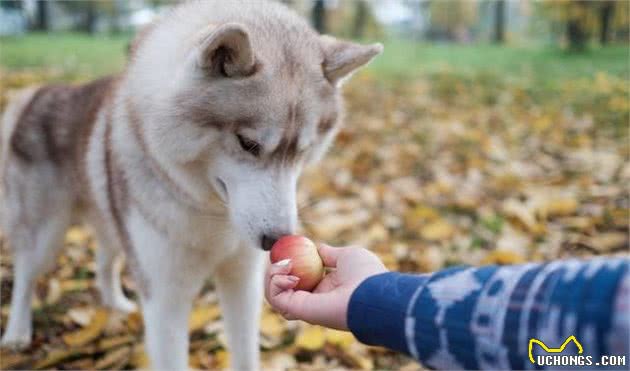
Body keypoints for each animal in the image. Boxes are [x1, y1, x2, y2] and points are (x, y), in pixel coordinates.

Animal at [0, 2, 382, 370]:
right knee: (25, 277)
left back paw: (117, 304)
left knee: (105, 259)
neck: (211, 213)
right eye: (248, 143)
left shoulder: (242, 280)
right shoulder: (165, 298)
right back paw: (17, 332)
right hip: (46, 237)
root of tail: (35, 93)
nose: (276, 240)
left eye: (302, 151)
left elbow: (246, 353)